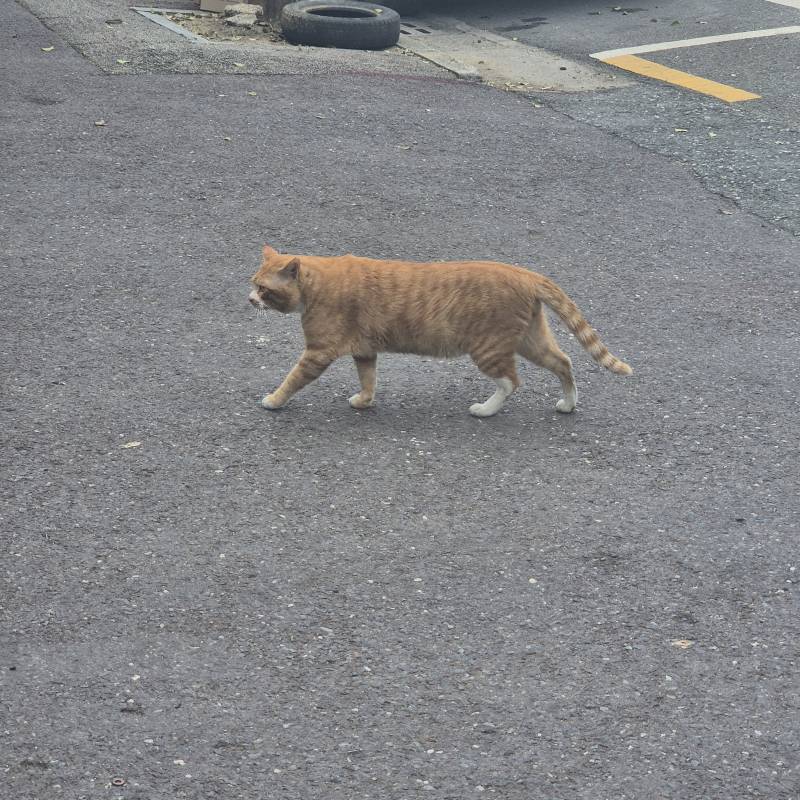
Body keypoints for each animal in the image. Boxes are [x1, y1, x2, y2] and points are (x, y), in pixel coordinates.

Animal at [250, 245, 632, 418]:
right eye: (252, 283)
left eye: (264, 290)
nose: (249, 299)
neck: (317, 284)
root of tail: (524, 273)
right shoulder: (365, 349)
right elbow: (368, 378)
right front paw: (364, 400)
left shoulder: (318, 351)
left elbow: (292, 379)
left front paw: (273, 400)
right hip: (531, 340)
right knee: (564, 362)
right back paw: (568, 403)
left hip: (488, 347)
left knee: (511, 381)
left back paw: (485, 409)